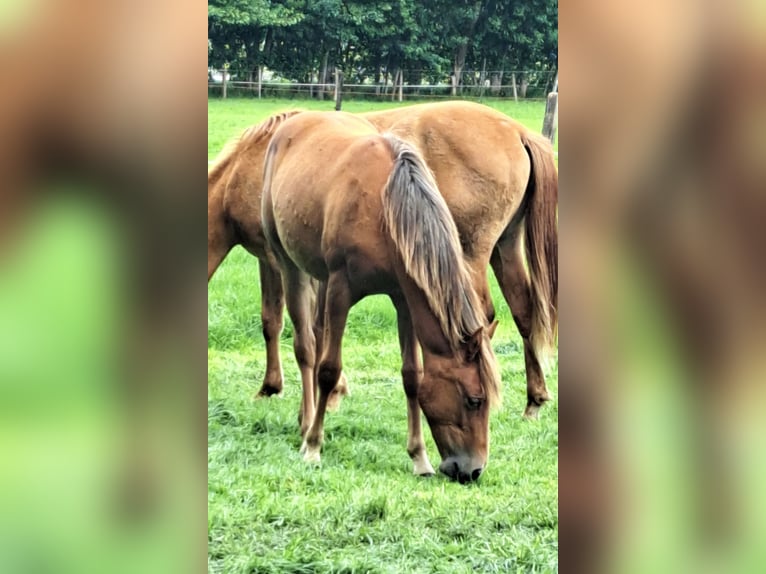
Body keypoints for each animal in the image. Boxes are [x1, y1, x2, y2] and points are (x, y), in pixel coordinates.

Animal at [210, 101, 560, 420]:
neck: (247, 166)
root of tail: (517, 131)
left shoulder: (280, 260)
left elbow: (285, 322)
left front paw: (287, 389)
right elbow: (296, 322)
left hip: (471, 254)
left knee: (483, 317)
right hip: (505, 246)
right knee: (523, 311)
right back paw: (534, 399)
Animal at [262, 111, 504, 482]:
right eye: (474, 400)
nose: (473, 470)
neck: (385, 206)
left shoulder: (403, 298)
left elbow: (412, 377)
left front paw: (419, 457)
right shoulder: (340, 289)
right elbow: (328, 369)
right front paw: (314, 447)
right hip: (290, 265)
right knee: (306, 348)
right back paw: (306, 426)